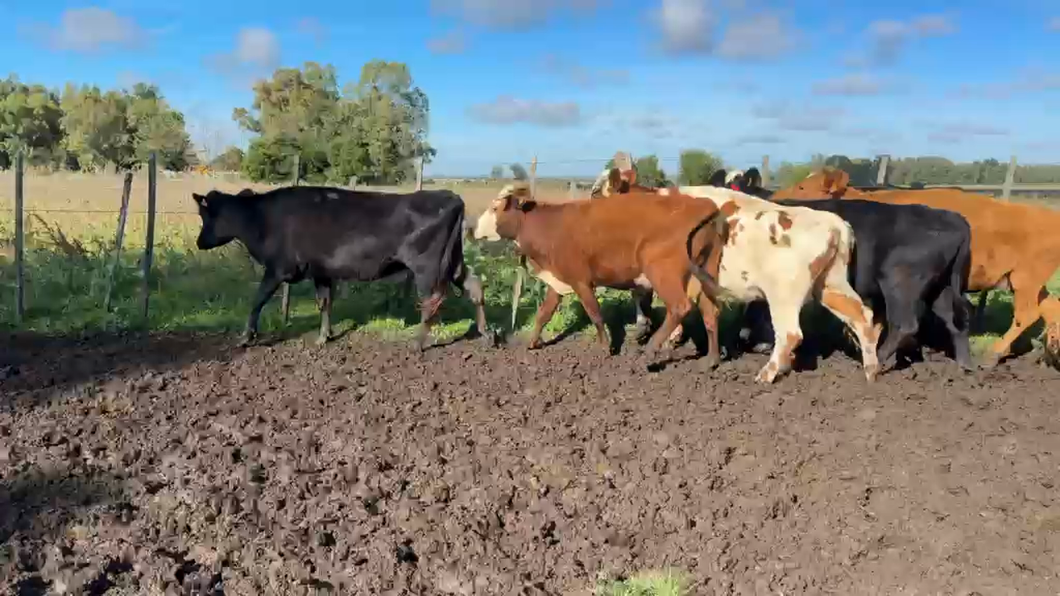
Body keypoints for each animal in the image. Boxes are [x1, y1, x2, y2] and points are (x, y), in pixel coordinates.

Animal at [191, 185, 489, 350]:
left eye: (205, 215)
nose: (199, 242)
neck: (260, 218)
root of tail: (452, 197)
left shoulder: (277, 269)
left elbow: (257, 300)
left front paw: (246, 337)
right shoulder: (321, 271)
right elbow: (324, 303)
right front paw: (324, 336)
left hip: (427, 268)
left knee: (431, 302)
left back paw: (417, 345)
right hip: (453, 262)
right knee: (474, 286)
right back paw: (486, 334)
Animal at [472, 181, 729, 369]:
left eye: (495, 208)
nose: (473, 230)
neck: (550, 225)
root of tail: (703, 205)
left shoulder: (581, 281)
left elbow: (595, 313)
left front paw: (605, 347)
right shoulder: (559, 281)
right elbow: (543, 314)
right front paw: (531, 343)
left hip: (663, 272)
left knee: (679, 307)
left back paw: (649, 351)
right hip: (704, 272)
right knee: (710, 311)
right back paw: (711, 359)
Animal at [591, 167, 881, 384]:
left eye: (596, 193)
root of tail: (835, 224)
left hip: (783, 294)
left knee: (790, 333)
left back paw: (767, 373)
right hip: (830, 285)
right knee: (863, 317)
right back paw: (870, 371)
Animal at [773, 169, 1060, 368]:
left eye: (802, 186)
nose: (776, 198)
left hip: (1024, 280)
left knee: (1027, 314)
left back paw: (994, 354)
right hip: (1023, 282)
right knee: (1050, 307)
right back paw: (1050, 351)